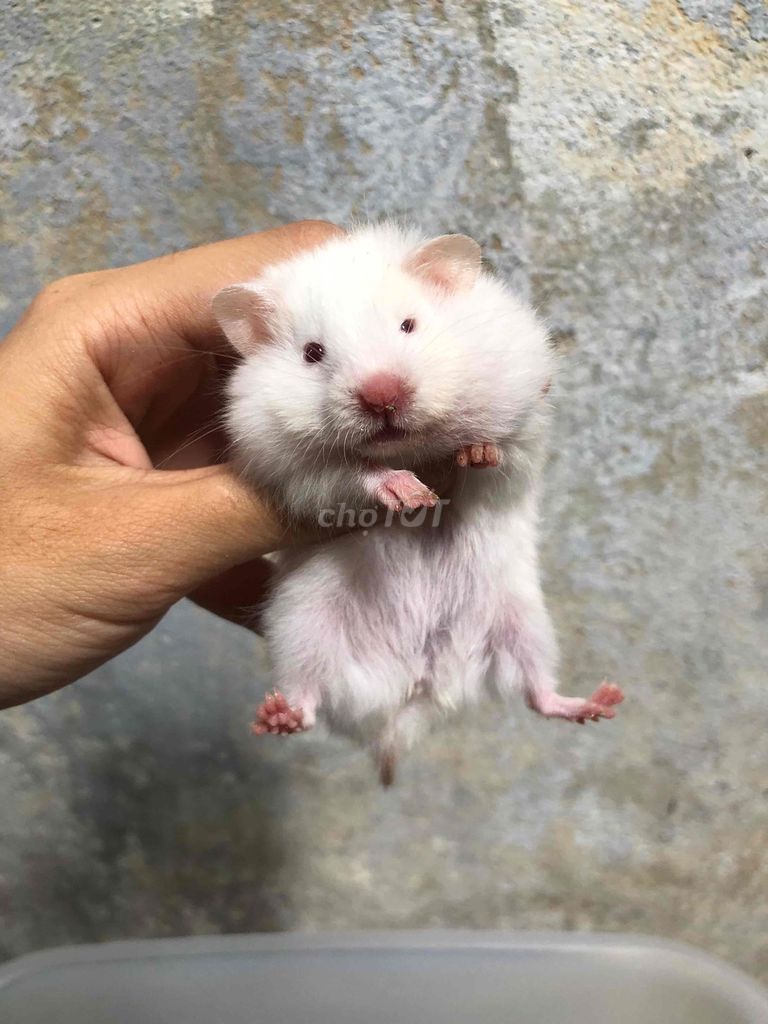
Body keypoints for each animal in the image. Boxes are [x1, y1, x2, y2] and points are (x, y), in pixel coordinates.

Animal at [213, 223, 623, 784]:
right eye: (312, 353)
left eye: (408, 325)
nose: (382, 394)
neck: (410, 445)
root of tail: (413, 693)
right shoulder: (290, 472)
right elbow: (353, 475)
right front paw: (412, 492)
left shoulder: (528, 418)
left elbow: (501, 452)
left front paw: (474, 453)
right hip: (304, 627)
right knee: (308, 699)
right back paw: (277, 716)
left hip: (523, 621)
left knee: (539, 692)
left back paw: (602, 701)